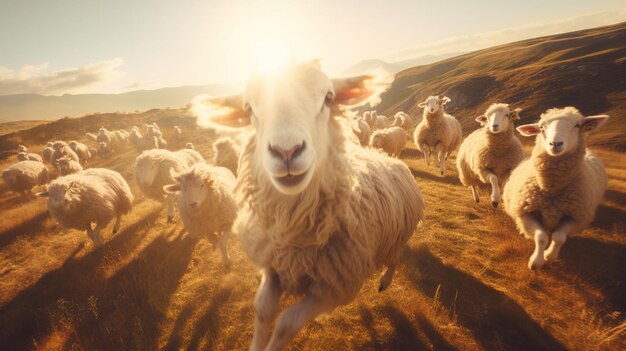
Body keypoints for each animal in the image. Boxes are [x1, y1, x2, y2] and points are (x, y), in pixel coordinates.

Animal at [191, 62, 424, 350]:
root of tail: (390, 158)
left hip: (396, 238)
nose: (287, 151)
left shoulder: (333, 288)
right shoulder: (274, 266)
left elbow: (286, 323)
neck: (299, 232)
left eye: (328, 98)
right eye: (249, 108)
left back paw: (384, 281)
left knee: (395, 258)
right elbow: (262, 309)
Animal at [500, 107, 608, 270]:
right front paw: (536, 262)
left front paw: (549, 255)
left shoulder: (576, 217)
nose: (555, 144)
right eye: (541, 127)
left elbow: (559, 237)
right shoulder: (525, 212)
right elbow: (541, 237)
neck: (552, 190)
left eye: (577, 125)